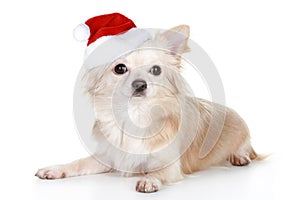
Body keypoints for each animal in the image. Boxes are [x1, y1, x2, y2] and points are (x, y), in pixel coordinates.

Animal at [35, 25, 260, 192]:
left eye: (156, 70)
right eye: (120, 69)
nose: (140, 84)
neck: (135, 115)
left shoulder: (171, 166)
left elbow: (158, 172)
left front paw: (149, 179)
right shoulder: (110, 158)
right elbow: (80, 163)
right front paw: (56, 169)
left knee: (246, 149)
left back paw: (239, 157)